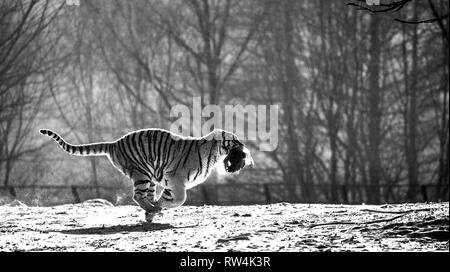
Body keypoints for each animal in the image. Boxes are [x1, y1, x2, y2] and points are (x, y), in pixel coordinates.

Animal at [39, 127, 253, 221]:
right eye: (237, 143)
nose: (244, 150)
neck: (215, 152)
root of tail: (114, 143)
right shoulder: (175, 179)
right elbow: (180, 199)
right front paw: (158, 208)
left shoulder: (170, 183)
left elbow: (168, 197)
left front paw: (157, 207)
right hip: (142, 173)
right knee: (137, 195)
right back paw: (152, 210)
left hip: (149, 177)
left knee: (145, 196)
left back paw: (151, 210)